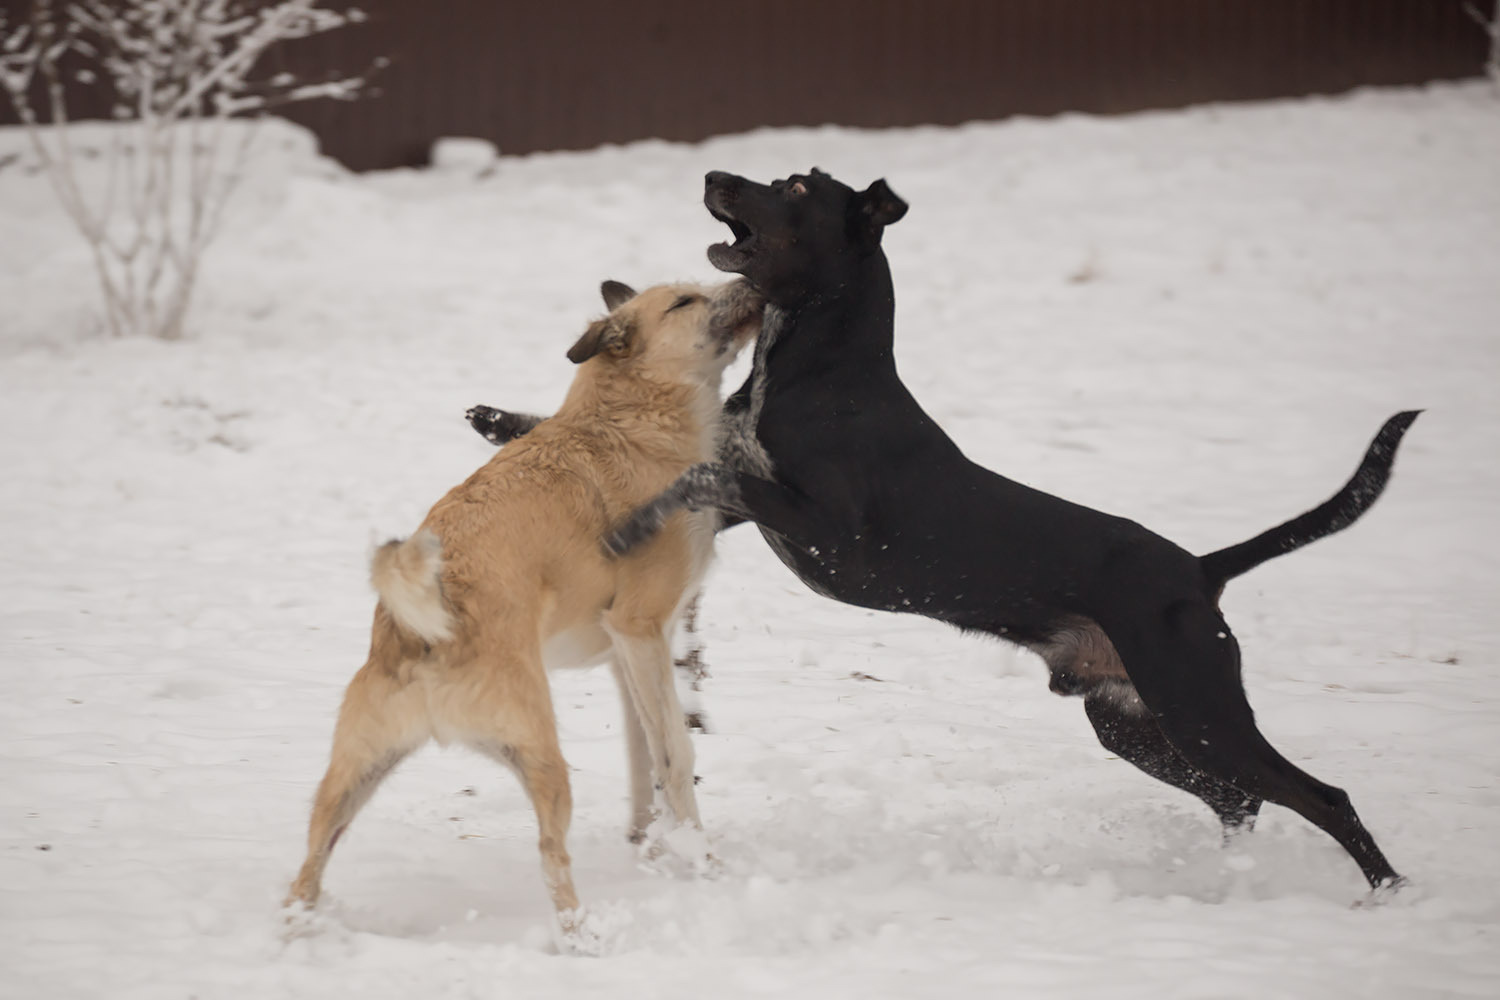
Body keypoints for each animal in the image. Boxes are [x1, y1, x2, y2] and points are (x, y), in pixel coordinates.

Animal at [288, 277, 768, 953]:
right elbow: (675, 758)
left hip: (352, 777)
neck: (629, 420)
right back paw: (582, 938)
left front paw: (651, 853)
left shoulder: (627, 654)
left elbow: (642, 759)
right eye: (684, 302)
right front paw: (702, 864)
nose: (752, 280)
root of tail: (423, 633)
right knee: (550, 854)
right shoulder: (641, 630)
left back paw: (299, 932)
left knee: (306, 868)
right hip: (544, 758)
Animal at [468, 172, 1416, 893]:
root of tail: (1200, 571)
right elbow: (662, 455)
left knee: (1323, 797)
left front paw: (630, 514)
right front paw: (500, 419)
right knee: (1240, 802)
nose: (715, 176)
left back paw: (1388, 893)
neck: (816, 370)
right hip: (1137, 724)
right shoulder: (752, 502)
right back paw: (1230, 877)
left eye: (796, 189)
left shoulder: (827, 532)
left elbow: (701, 474)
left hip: (1198, 706)